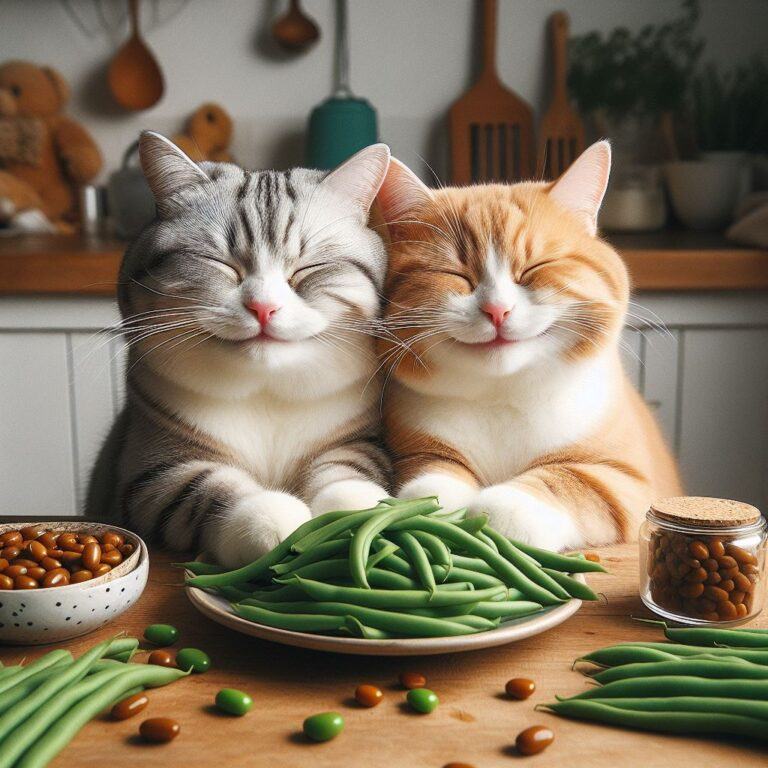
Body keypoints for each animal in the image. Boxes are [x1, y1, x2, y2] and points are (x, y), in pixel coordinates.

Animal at [87, 130, 392, 564]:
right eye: (222, 264)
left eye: (307, 269)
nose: (263, 307)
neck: (265, 391)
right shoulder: (150, 469)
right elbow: (202, 489)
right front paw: (272, 519)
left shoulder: (361, 439)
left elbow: (350, 468)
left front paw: (356, 514)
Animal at [376, 141, 680, 548]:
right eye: (455, 274)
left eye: (534, 268)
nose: (497, 310)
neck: (501, 398)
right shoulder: (411, 449)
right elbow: (431, 476)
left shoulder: (630, 480)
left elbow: (567, 480)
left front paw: (502, 509)